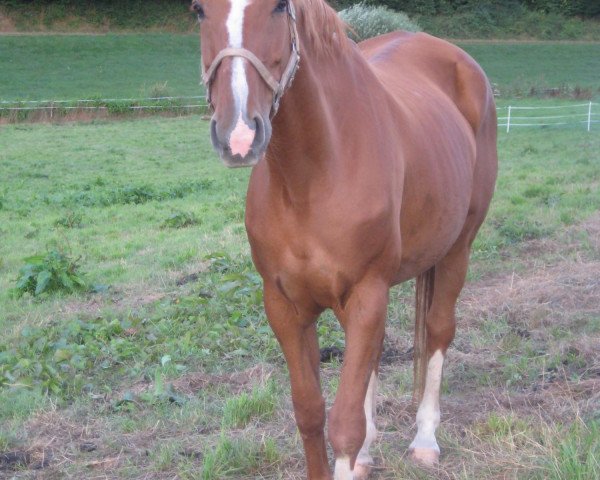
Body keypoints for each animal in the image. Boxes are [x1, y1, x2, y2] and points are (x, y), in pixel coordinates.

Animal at [192, 1, 496, 478]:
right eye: (198, 10)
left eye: (279, 7)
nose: (238, 134)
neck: (313, 176)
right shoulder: (285, 306)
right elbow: (310, 411)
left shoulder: (367, 292)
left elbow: (345, 424)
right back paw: (370, 453)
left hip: (456, 249)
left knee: (438, 330)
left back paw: (425, 440)